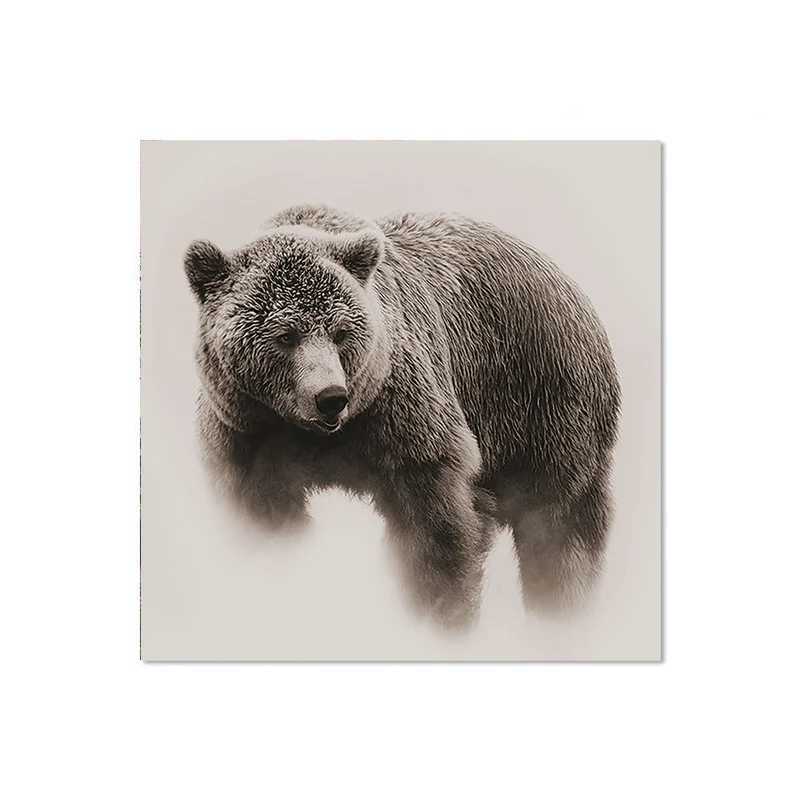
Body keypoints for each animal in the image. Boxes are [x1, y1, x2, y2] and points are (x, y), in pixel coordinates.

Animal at [184, 204, 621, 630]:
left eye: (340, 332)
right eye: (286, 335)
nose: (331, 398)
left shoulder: (405, 419)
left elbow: (437, 529)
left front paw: (440, 611)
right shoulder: (244, 434)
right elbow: (263, 516)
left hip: (545, 402)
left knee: (559, 528)